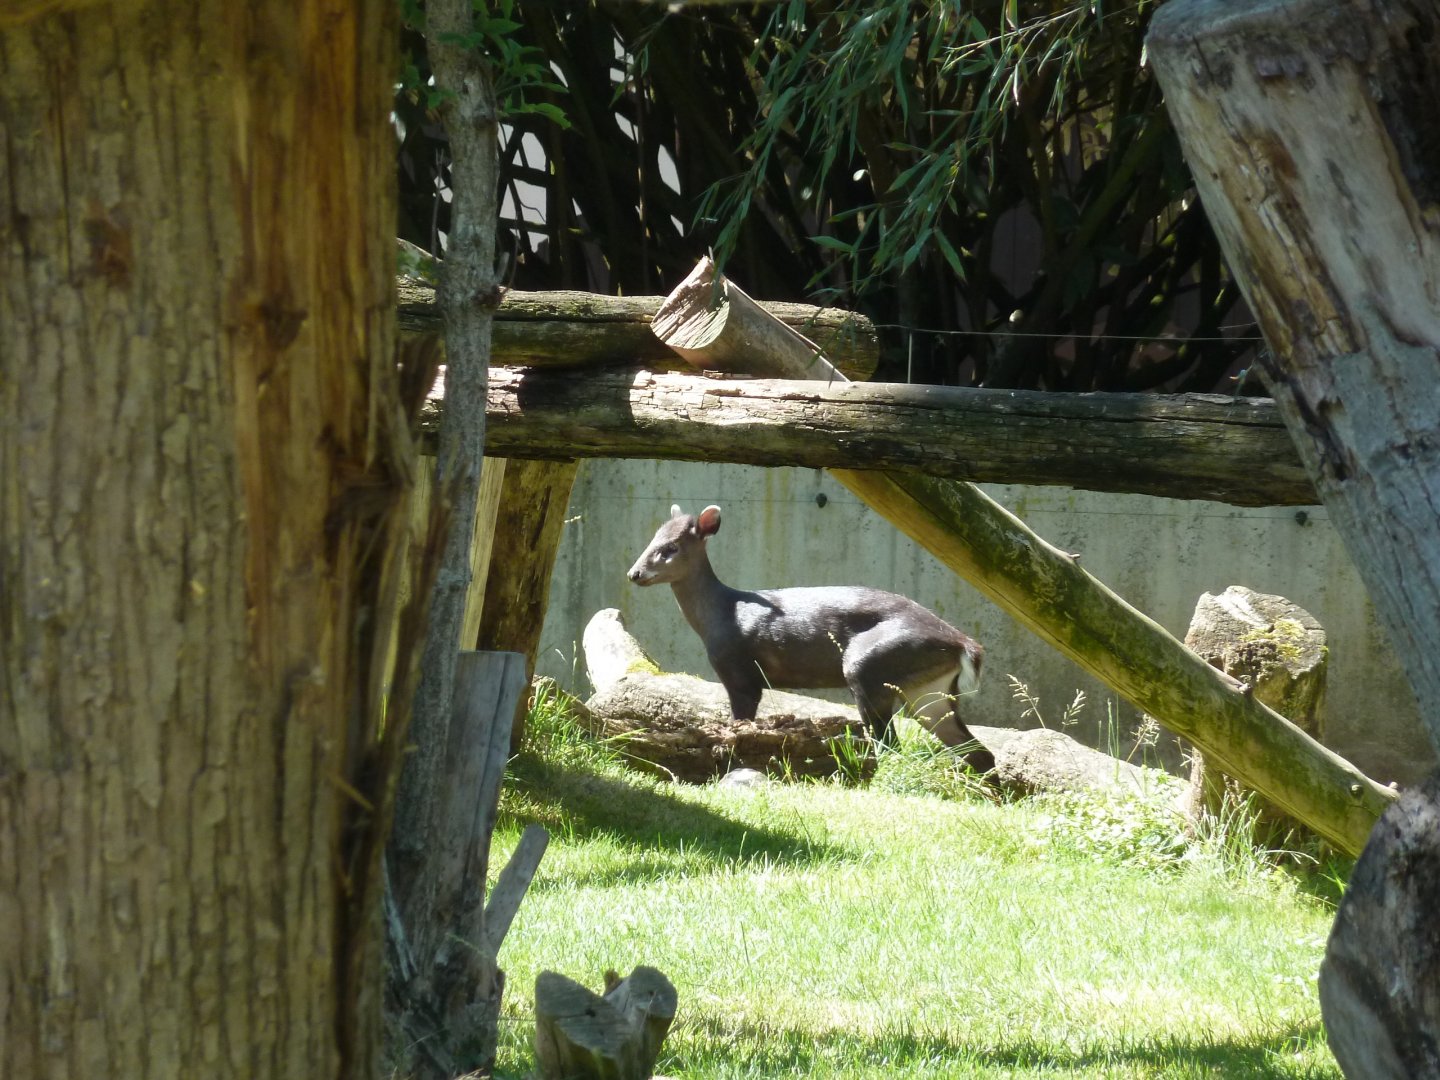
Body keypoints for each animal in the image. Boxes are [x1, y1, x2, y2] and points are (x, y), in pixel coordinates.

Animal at [627, 504, 994, 773]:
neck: (721, 615)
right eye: (651, 540)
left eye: (671, 547)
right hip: (928, 690)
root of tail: (965, 645)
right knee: (975, 749)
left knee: (890, 743)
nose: (634, 573)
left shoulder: (742, 673)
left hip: (870, 666)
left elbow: (738, 727)